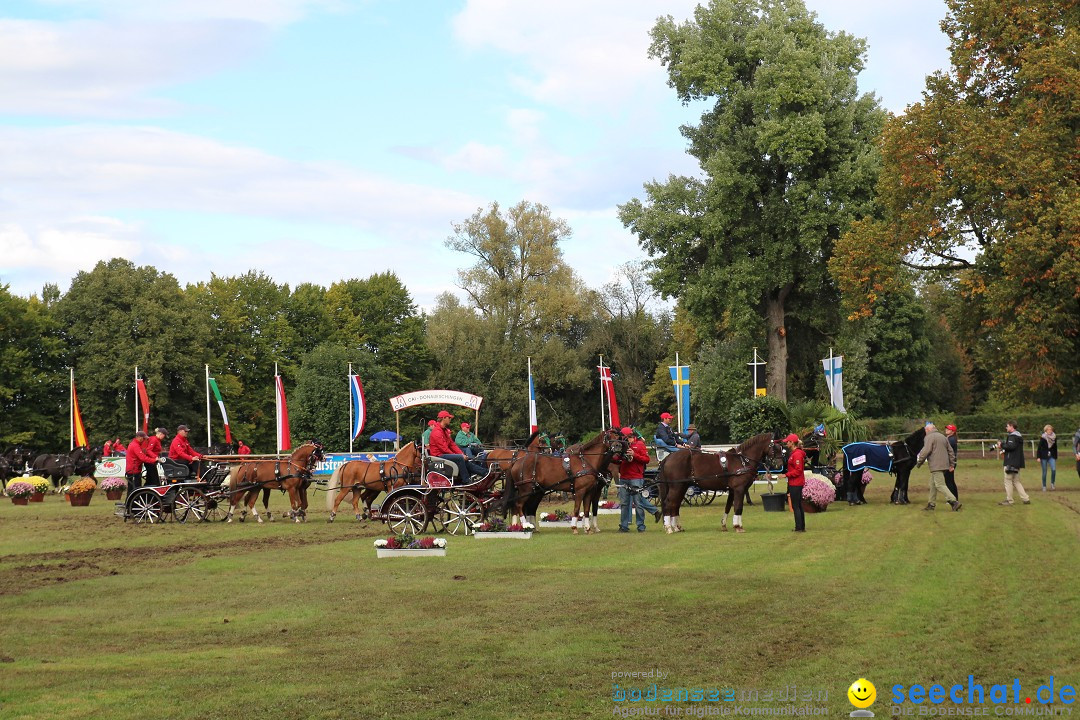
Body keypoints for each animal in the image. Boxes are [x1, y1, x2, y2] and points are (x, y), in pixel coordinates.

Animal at [501, 427, 630, 535]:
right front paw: (575, 527)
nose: (617, 446)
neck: (586, 461)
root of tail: (516, 461)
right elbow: (577, 509)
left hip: (535, 491)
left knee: (527, 507)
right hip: (525, 490)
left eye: (618, 437)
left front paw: (588, 528)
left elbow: (587, 510)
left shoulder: (589, 491)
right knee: (519, 505)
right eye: (609, 436)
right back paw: (525, 526)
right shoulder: (580, 491)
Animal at [652, 433, 781, 535]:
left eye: (782, 446)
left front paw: (724, 525)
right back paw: (669, 527)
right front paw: (738, 527)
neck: (743, 461)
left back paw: (676, 527)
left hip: (682, 487)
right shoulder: (739, 489)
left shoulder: (732, 490)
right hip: (676, 487)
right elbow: (738, 507)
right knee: (668, 503)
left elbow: (728, 507)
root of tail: (668, 458)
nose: (779, 463)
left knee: (675, 504)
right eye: (775, 446)